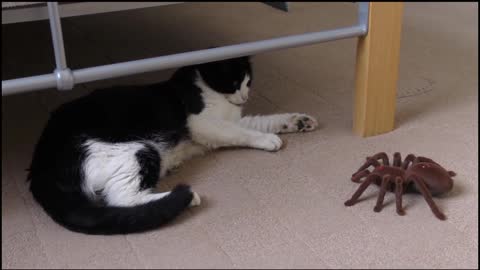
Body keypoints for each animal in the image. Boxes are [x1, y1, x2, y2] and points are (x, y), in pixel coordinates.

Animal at [27, 56, 318, 234]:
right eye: (235, 82)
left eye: (249, 82)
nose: (245, 96)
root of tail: (40, 163)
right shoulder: (203, 123)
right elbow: (240, 132)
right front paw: (267, 140)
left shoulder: (234, 118)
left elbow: (260, 122)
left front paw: (298, 121)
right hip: (135, 150)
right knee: (123, 198)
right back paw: (185, 198)